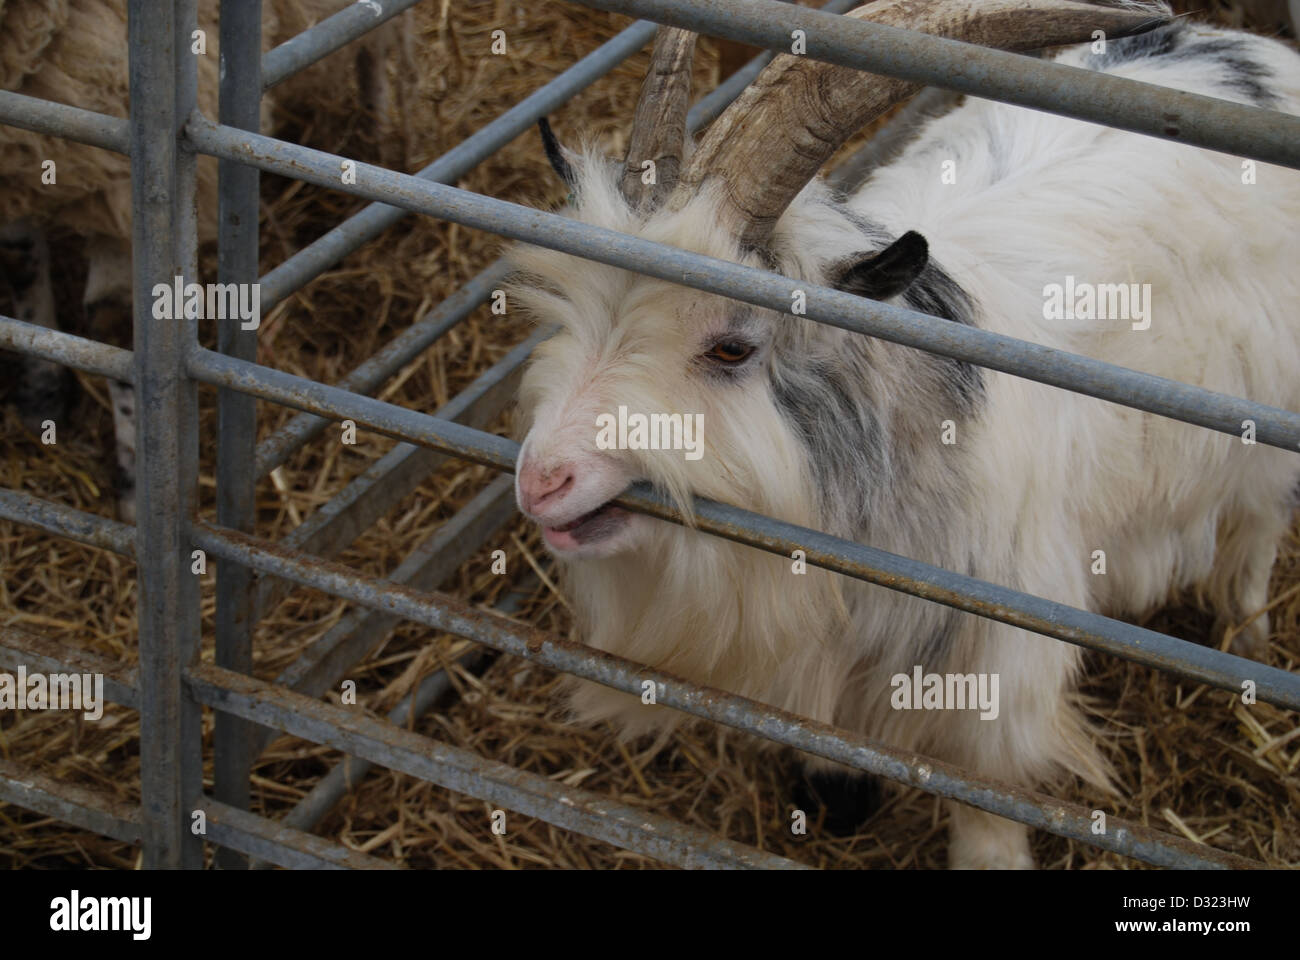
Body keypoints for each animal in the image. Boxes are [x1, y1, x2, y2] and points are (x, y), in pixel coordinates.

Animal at [0, 0, 408, 515]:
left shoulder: (123, 173)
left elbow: (113, 321)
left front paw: (138, 486)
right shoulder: (20, 146)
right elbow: (20, 264)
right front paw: (42, 396)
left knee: (378, 48)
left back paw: (381, 142)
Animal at [504, 0, 1300, 868]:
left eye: (732, 348)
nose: (541, 482)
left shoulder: (995, 668)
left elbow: (984, 793)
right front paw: (835, 798)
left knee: (1257, 532)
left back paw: (1250, 643)